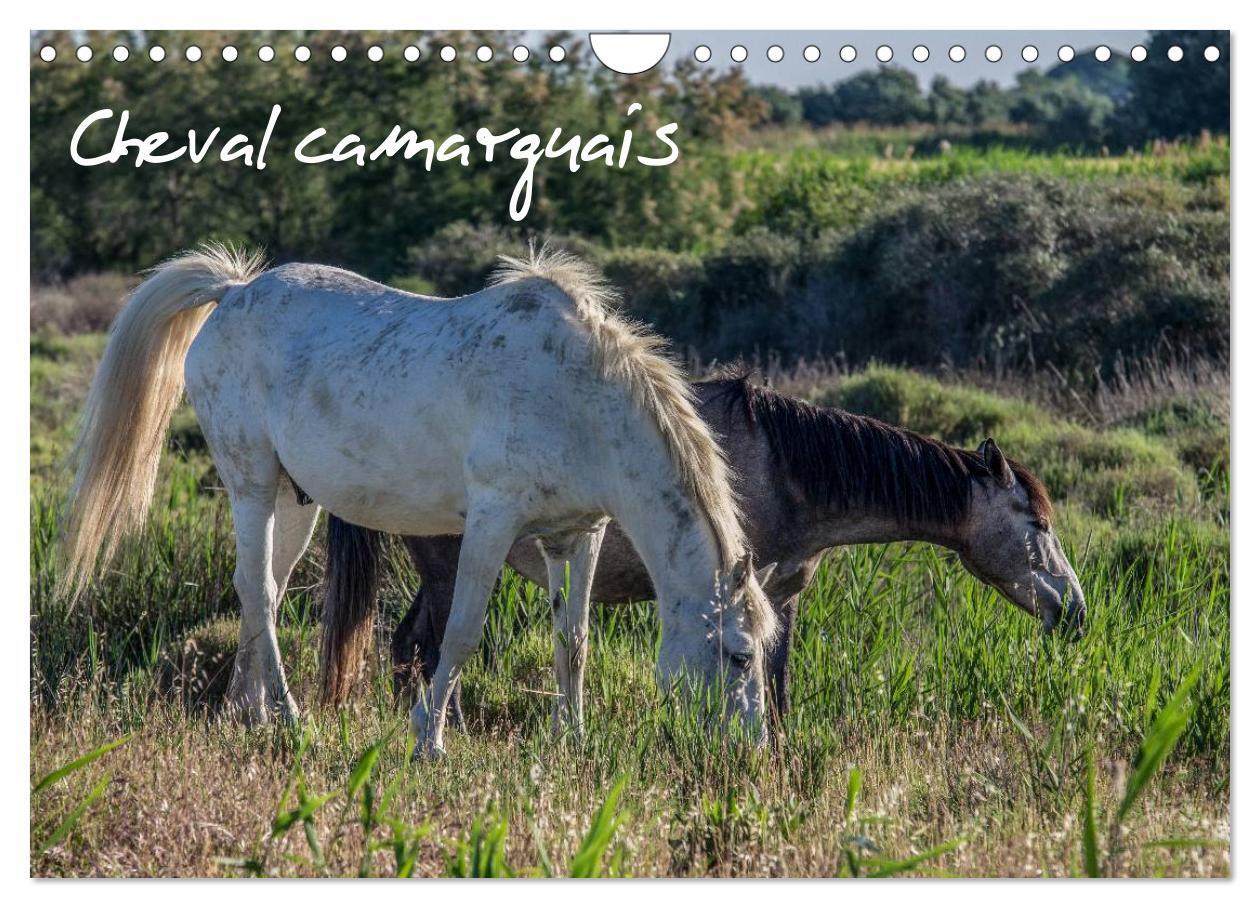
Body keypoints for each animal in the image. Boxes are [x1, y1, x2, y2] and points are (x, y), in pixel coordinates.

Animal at [58, 245, 778, 755]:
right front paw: (427, 740)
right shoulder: (491, 521)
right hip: (249, 483)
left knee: (260, 591)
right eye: (739, 655)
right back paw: (289, 719)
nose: (750, 751)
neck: (578, 397)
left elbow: (572, 639)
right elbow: (461, 633)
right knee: (259, 592)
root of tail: (233, 292)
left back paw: (248, 712)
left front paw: (569, 738)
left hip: (294, 502)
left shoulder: (578, 534)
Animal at [319, 377, 1086, 727]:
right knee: (421, 648)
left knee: (405, 649)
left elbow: (777, 680)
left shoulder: (782, 597)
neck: (783, 468)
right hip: (449, 564)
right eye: (1037, 522)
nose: (1077, 612)